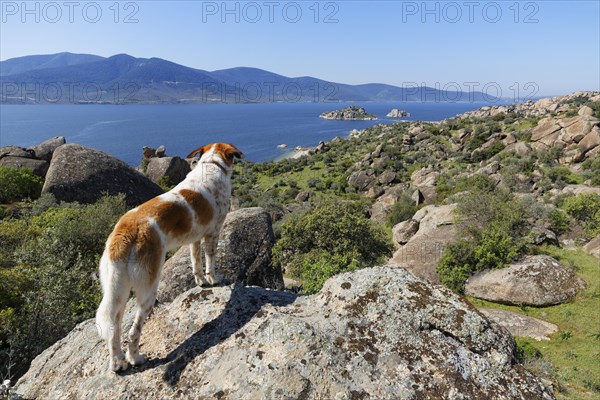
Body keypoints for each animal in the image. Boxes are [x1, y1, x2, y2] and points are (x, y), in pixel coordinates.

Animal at [95, 142, 243, 370]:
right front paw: (214, 279)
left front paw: (201, 282)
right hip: (148, 289)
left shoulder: (194, 238)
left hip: (116, 289)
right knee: (133, 332)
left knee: (114, 328)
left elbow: (195, 262)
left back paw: (118, 362)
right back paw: (135, 358)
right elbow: (210, 260)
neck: (211, 164)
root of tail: (127, 231)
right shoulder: (213, 233)